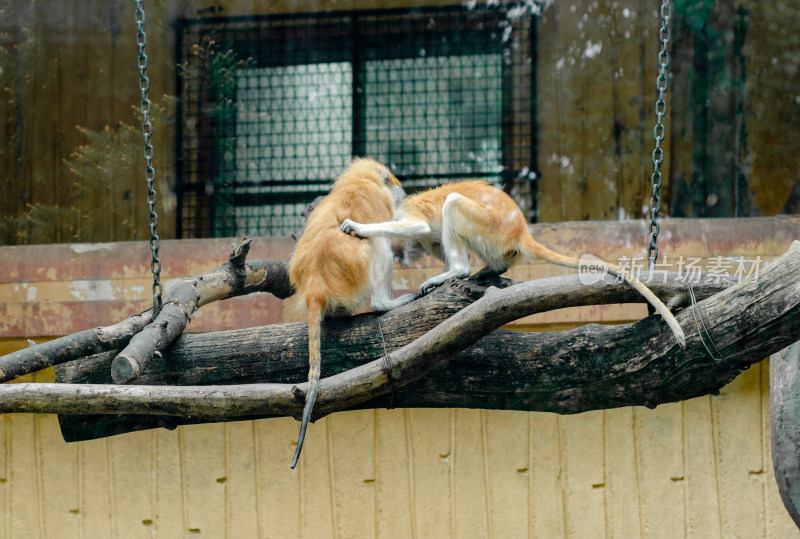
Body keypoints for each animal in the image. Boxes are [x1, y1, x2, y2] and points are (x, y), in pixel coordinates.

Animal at [288, 158, 416, 470]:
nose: (402, 196)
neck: (362, 181)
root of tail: (315, 287)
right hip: (355, 275)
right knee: (378, 242)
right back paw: (384, 304)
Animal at [340, 179, 684, 348]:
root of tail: (519, 231)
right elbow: (430, 238)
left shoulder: (406, 215)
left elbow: (419, 228)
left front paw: (357, 227)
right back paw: (489, 271)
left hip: (490, 227)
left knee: (453, 203)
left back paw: (457, 273)